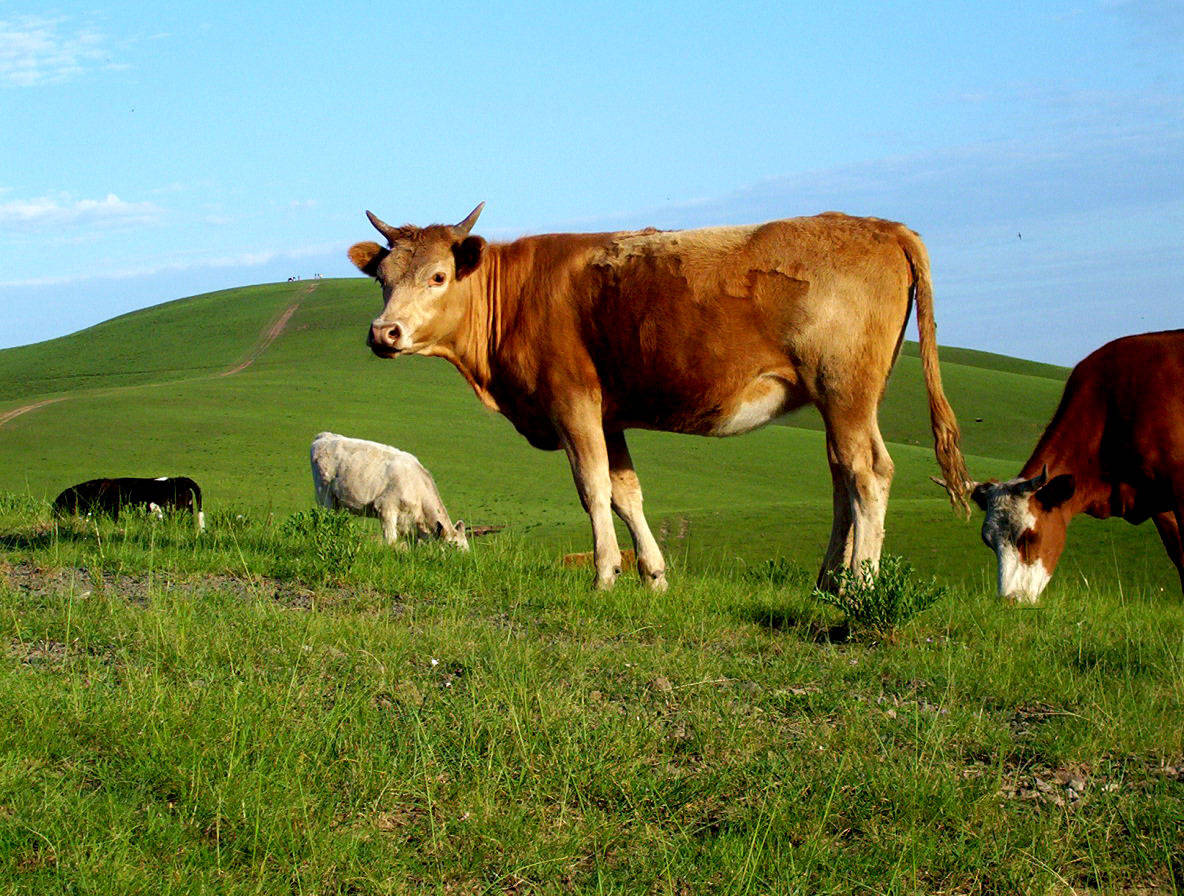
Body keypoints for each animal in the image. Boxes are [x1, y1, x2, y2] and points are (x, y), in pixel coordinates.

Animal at [307, 430, 468, 549]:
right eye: (453, 547)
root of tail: (324, 436)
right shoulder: (386, 509)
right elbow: (390, 540)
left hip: (337, 501)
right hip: (324, 494)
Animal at [345, 204, 966, 591]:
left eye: (439, 276)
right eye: (383, 278)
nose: (382, 333)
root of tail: (883, 226)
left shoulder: (572, 402)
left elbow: (593, 490)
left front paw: (604, 575)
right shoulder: (608, 415)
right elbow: (627, 494)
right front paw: (653, 575)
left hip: (844, 389)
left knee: (868, 474)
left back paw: (859, 585)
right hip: (843, 399)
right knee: (843, 478)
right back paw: (827, 581)